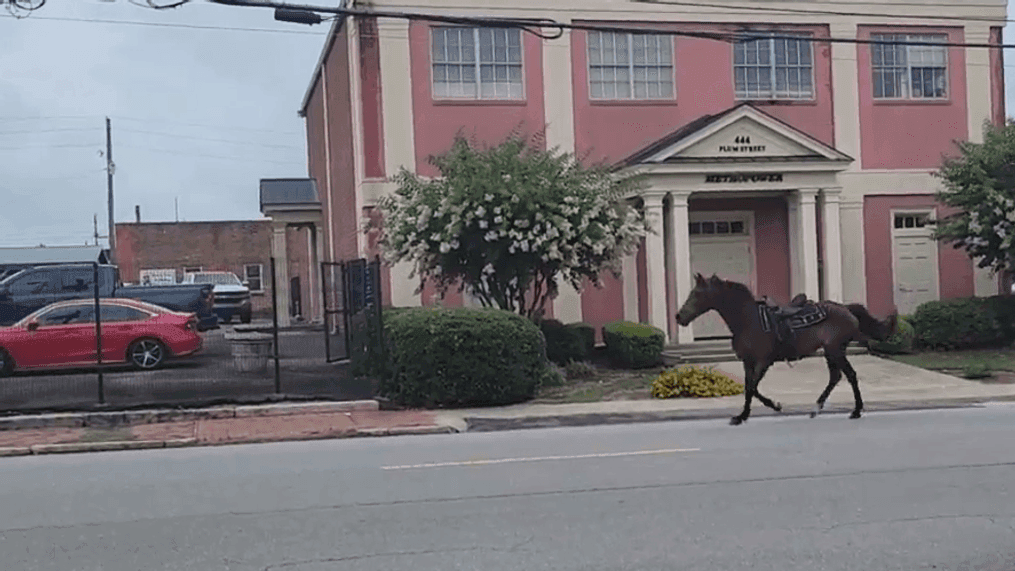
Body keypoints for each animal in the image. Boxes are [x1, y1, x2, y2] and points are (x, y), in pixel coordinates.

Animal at [673, 273, 897, 425]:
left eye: (697, 294)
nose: (678, 316)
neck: (748, 320)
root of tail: (846, 309)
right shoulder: (748, 362)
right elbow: (749, 388)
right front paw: (751, 412)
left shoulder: (763, 361)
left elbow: (752, 387)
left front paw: (757, 411)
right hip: (831, 351)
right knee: (836, 377)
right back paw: (816, 408)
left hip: (835, 350)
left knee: (849, 375)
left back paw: (856, 410)